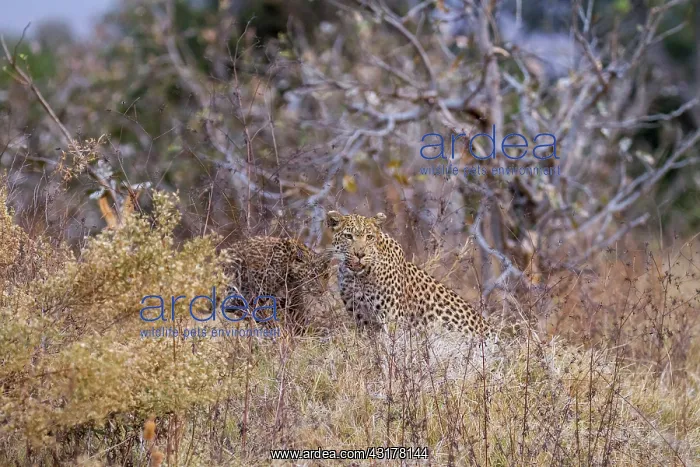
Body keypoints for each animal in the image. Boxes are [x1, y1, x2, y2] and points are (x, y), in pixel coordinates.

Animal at [326, 211, 495, 341]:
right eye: (348, 236)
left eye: (369, 237)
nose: (360, 254)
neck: (358, 277)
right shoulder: (361, 317)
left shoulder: (392, 319)